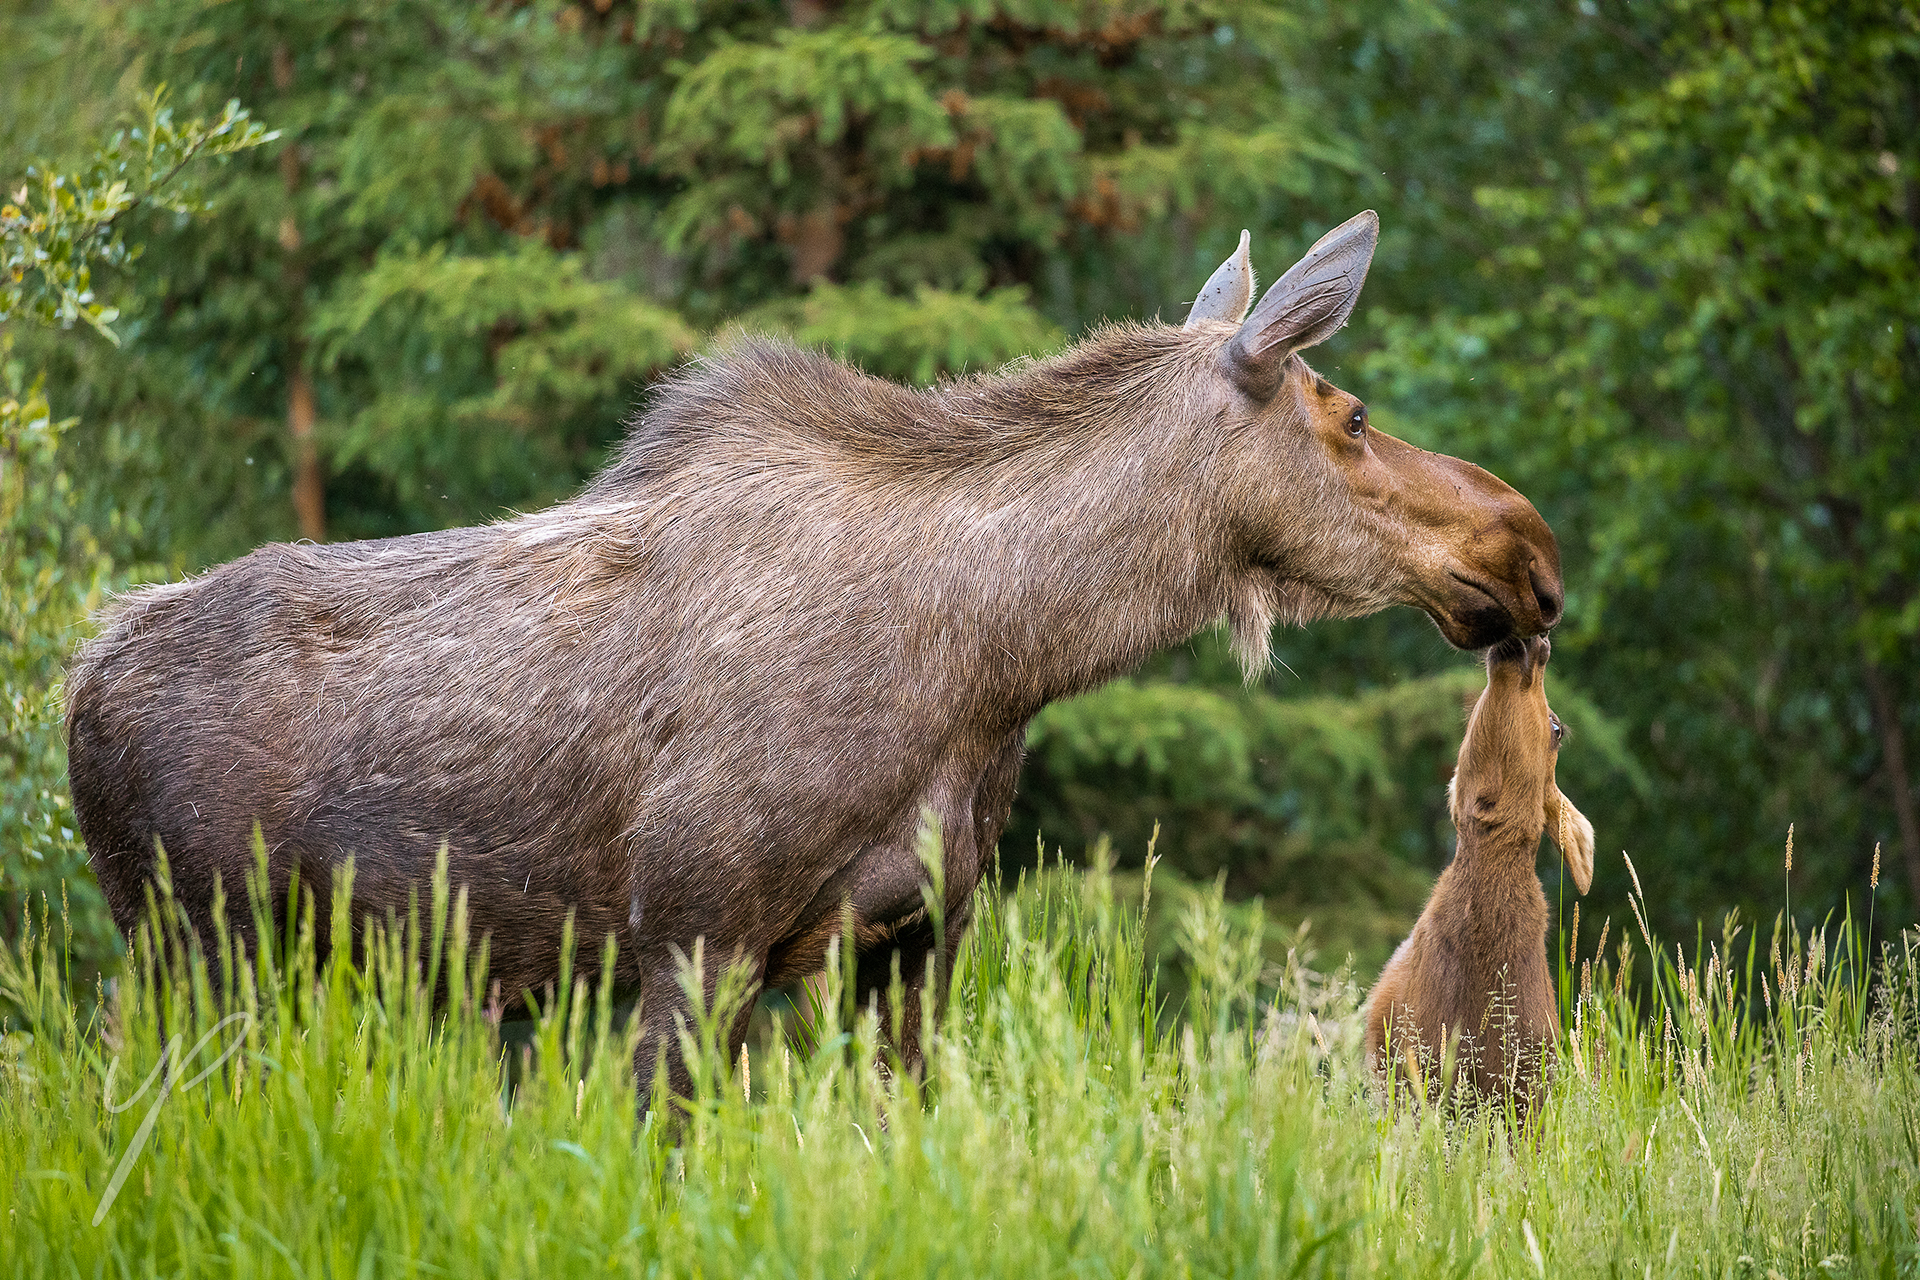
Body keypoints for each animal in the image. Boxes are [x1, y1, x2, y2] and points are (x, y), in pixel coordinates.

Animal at [67, 210, 1559, 1090]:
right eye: (1349, 414)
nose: (1529, 550)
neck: (998, 666)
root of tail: (78, 683)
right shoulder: (691, 936)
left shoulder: (913, 945)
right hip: (193, 948)